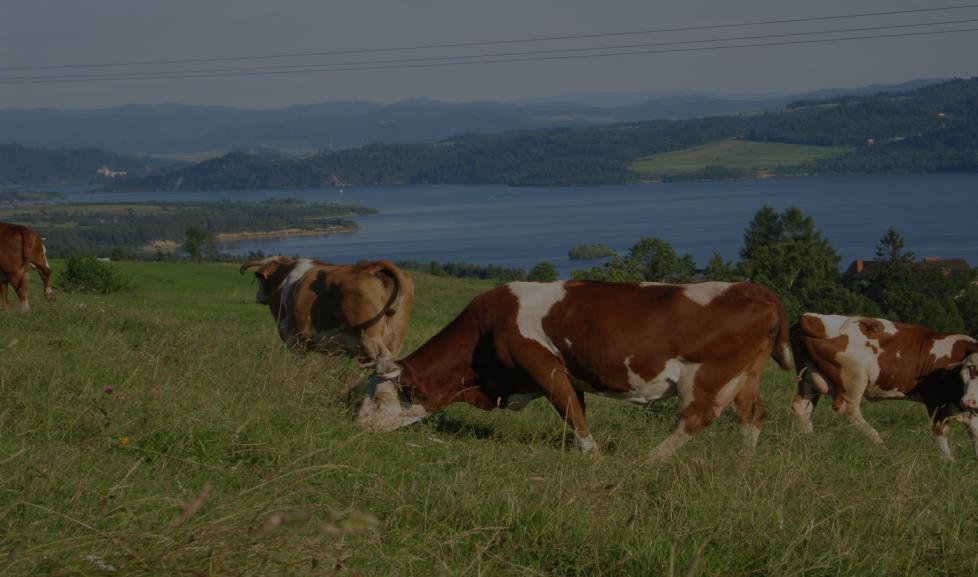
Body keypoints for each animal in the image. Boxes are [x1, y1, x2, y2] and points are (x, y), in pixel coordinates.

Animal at [244, 255, 416, 360]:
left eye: (259, 280)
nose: (258, 297)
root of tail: (370, 268)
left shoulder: (294, 340)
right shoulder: (336, 348)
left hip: (370, 339)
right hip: (395, 340)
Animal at [358, 280, 792, 460]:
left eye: (378, 398)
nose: (356, 426)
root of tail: (756, 289)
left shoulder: (542, 364)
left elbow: (568, 407)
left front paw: (590, 451)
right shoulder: (567, 370)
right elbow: (577, 404)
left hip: (704, 376)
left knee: (696, 418)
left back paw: (650, 459)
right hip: (748, 376)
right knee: (753, 414)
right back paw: (744, 463)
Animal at [784, 312, 976, 456]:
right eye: (970, 370)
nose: (969, 401)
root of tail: (812, 318)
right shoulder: (935, 403)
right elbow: (942, 438)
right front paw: (949, 463)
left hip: (808, 375)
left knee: (803, 407)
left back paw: (810, 440)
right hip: (853, 377)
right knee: (849, 410)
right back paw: (882, 447)